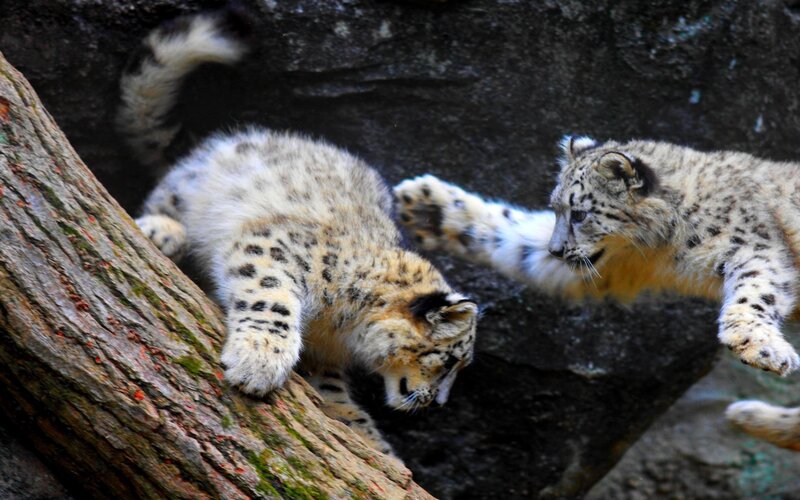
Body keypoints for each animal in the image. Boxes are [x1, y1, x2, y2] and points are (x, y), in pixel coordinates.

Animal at [116, 7, 479, 457]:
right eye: (449, 361)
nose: (437, 403)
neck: (338, 328)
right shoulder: (275, 247)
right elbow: (270, 298)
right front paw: (259, 360)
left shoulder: (326, 357)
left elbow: (333, 390)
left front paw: (370, 440)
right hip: (189, 185)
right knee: (160, 203)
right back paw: (161, 230)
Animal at [393, 135, 800, 451]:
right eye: (555, 209)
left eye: (580, 213)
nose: (556, 250)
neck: (667, 249)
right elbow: (517, 238)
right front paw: (427, 206)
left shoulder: (754, 245)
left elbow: (757, 286)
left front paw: (758, 345)